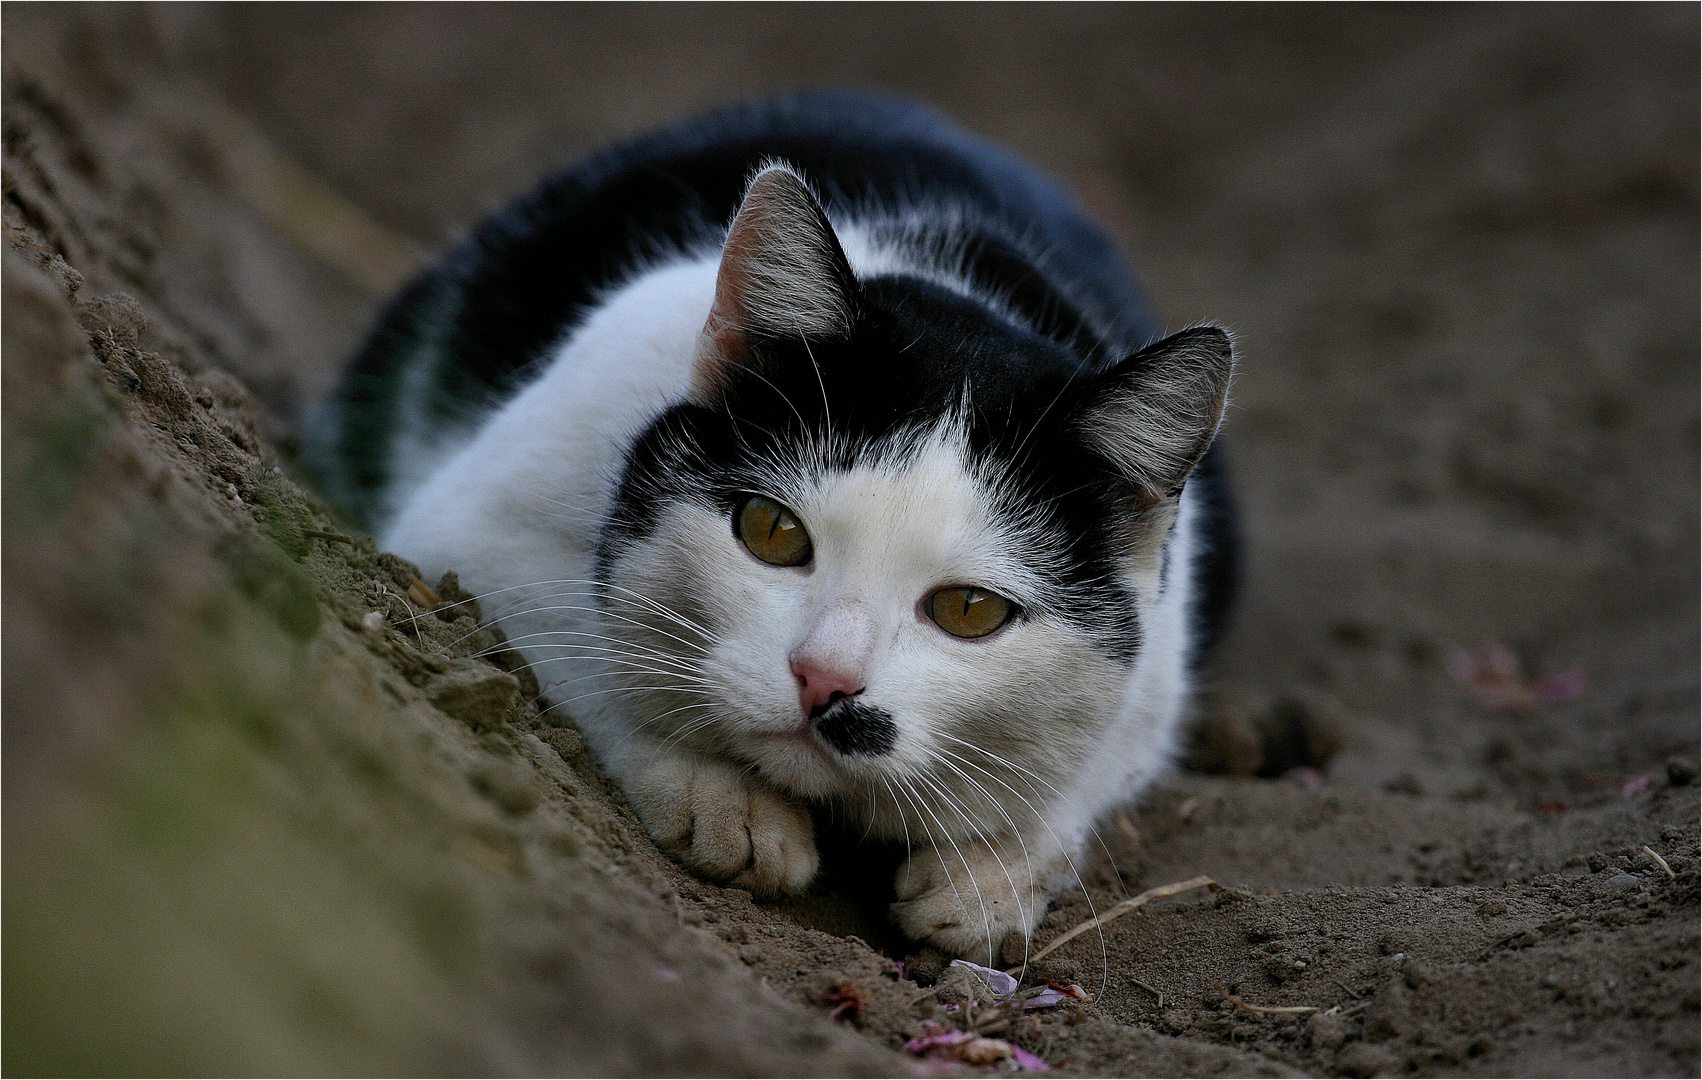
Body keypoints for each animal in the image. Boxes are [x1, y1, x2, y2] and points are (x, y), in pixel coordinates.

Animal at [306, 93, 1239, 966]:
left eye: (970, 610)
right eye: (770, 532)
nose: (824, 681)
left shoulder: (1158, 668)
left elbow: (1085, 763)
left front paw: (987, 878)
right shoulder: (469, 529)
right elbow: (586, 649)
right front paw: (723, 801)